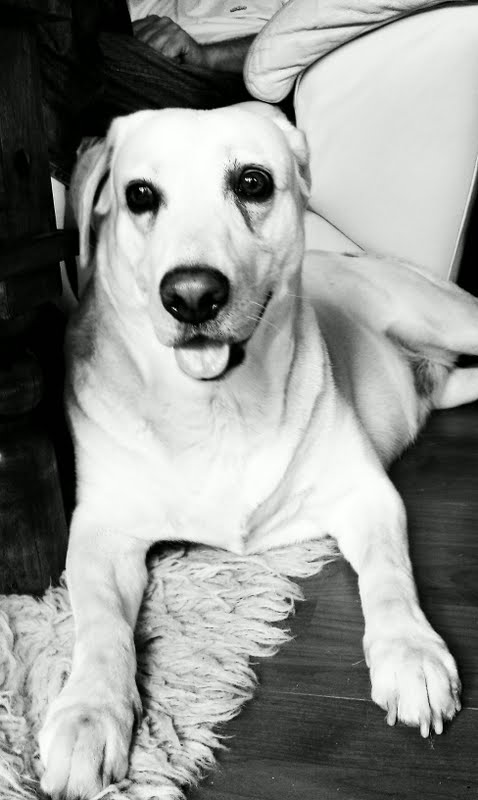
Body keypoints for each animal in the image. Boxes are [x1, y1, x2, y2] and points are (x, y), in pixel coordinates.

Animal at [39, 102, 478, 799]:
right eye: (140, 196)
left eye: (252, 183)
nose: (192, 295)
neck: (217, 408)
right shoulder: (101, 531)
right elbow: (101, 622)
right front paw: (88, 714)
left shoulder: (366, 495)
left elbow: (389, 577)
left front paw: (411, 654)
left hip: (447, 318)